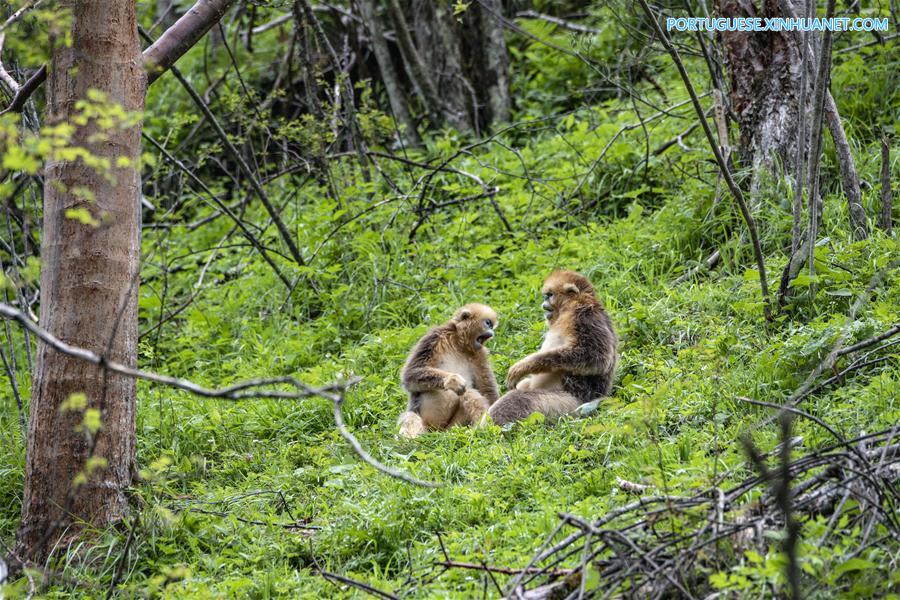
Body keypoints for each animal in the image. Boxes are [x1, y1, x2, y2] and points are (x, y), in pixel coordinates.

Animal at [398, 303, 500, 438]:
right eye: (488, 323)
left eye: (491, 325)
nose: (492, 332)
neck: (458, 344)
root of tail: (437, 432)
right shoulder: (434, 337)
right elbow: (409, 375)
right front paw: (452, 380)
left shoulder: (480, 353)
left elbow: (487, 391)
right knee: (411, 416)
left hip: (452, 426)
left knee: (468, 393)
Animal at [487, 270, 617, 425]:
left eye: (549, 295)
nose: (543, 304)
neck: (570, 307)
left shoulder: (585, 316)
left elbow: (595, 357)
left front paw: (522, 367)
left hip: (568, 405)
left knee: (515, 400)